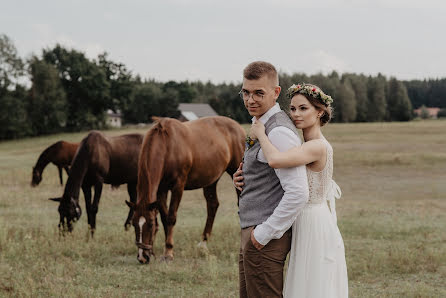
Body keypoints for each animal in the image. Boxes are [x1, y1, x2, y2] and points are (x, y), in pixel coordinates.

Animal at [127, 116, 246, 264]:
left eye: (150, 224)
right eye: (133, 224)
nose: (142, 257)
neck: (166, 146)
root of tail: (238, 127)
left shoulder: (178, 186)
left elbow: (171, 217)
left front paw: (168, 252)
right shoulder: (161, 190)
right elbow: (164, 217)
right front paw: (168, 247)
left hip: (236, 172)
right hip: (211, 179)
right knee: (212, 205)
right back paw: (203, 244)